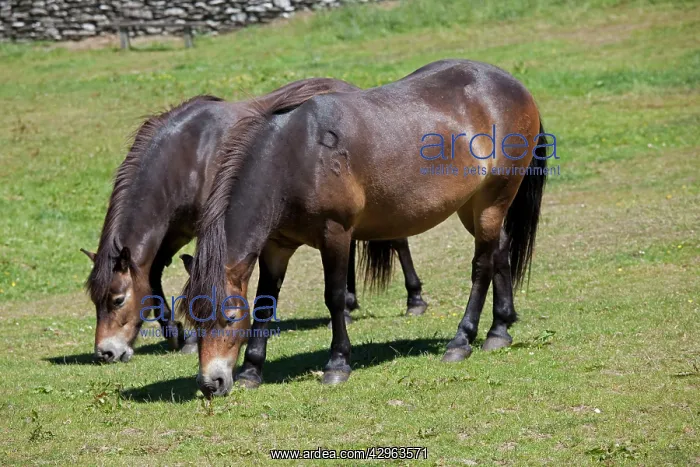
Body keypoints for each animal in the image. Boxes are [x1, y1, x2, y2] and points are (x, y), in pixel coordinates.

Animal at [81, 78, 428, 363]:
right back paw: (350, 303)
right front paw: (176, 333)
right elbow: (153, 274)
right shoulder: (175, 232)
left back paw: (414, 299)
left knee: (397, 238)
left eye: (117, 300)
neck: (186, 156)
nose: (105, 353)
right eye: (96, 302)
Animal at [182, 59, 551, 397]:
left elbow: (334, 298)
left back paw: (462, 340)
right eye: (193, 318)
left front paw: (337, 365)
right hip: (473, 206)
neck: (295, 157)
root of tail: (514, 86)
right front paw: (251, 371)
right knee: (501, 250)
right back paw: (499, 330)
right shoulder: (276, 246)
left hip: (493, 200)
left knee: (482, 266)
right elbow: (264, 303)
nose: (211, 383)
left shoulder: (335, 234)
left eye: (230, 317)